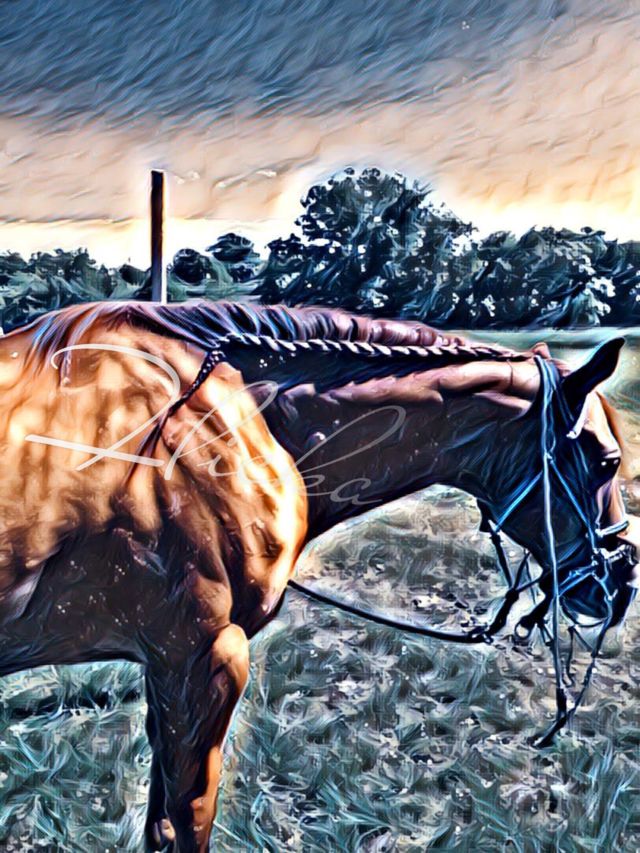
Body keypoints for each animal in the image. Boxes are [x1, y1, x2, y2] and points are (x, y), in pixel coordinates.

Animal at [0, 299, 637, 852]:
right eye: (607, 461)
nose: (619, 585)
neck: (214, 426)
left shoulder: (168, 667)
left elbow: (161, 822)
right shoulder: (202, 657)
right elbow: (190, 818)